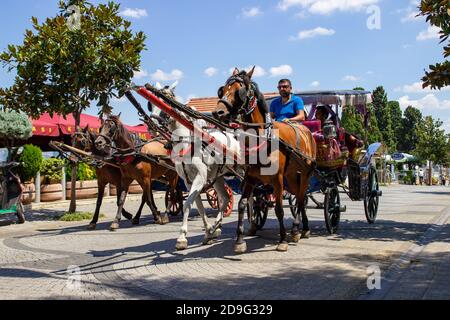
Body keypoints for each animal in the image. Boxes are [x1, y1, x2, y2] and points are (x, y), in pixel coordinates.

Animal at [165, 114, 243, 251]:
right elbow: (199, 207)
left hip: (242, 170)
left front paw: (182, 237)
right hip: (218, 177)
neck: (186, 147)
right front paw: (208, 232)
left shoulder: (200, 178)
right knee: (225, 197)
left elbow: (187, 205)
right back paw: (216, 225)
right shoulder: (189, 182)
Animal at [214, 67, 316, 252]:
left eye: (239, 91)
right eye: (222, 90)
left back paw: (297, 229)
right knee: (299, 196)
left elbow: (279, 209)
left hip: (305, 174)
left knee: (300, 198)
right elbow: (242, 204)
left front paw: (282, 240)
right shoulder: (250, 178)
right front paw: (239, 241)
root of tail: (307, 132)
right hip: (292, 176)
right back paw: (301, 229)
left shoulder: (278, 179)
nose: (217, 112)